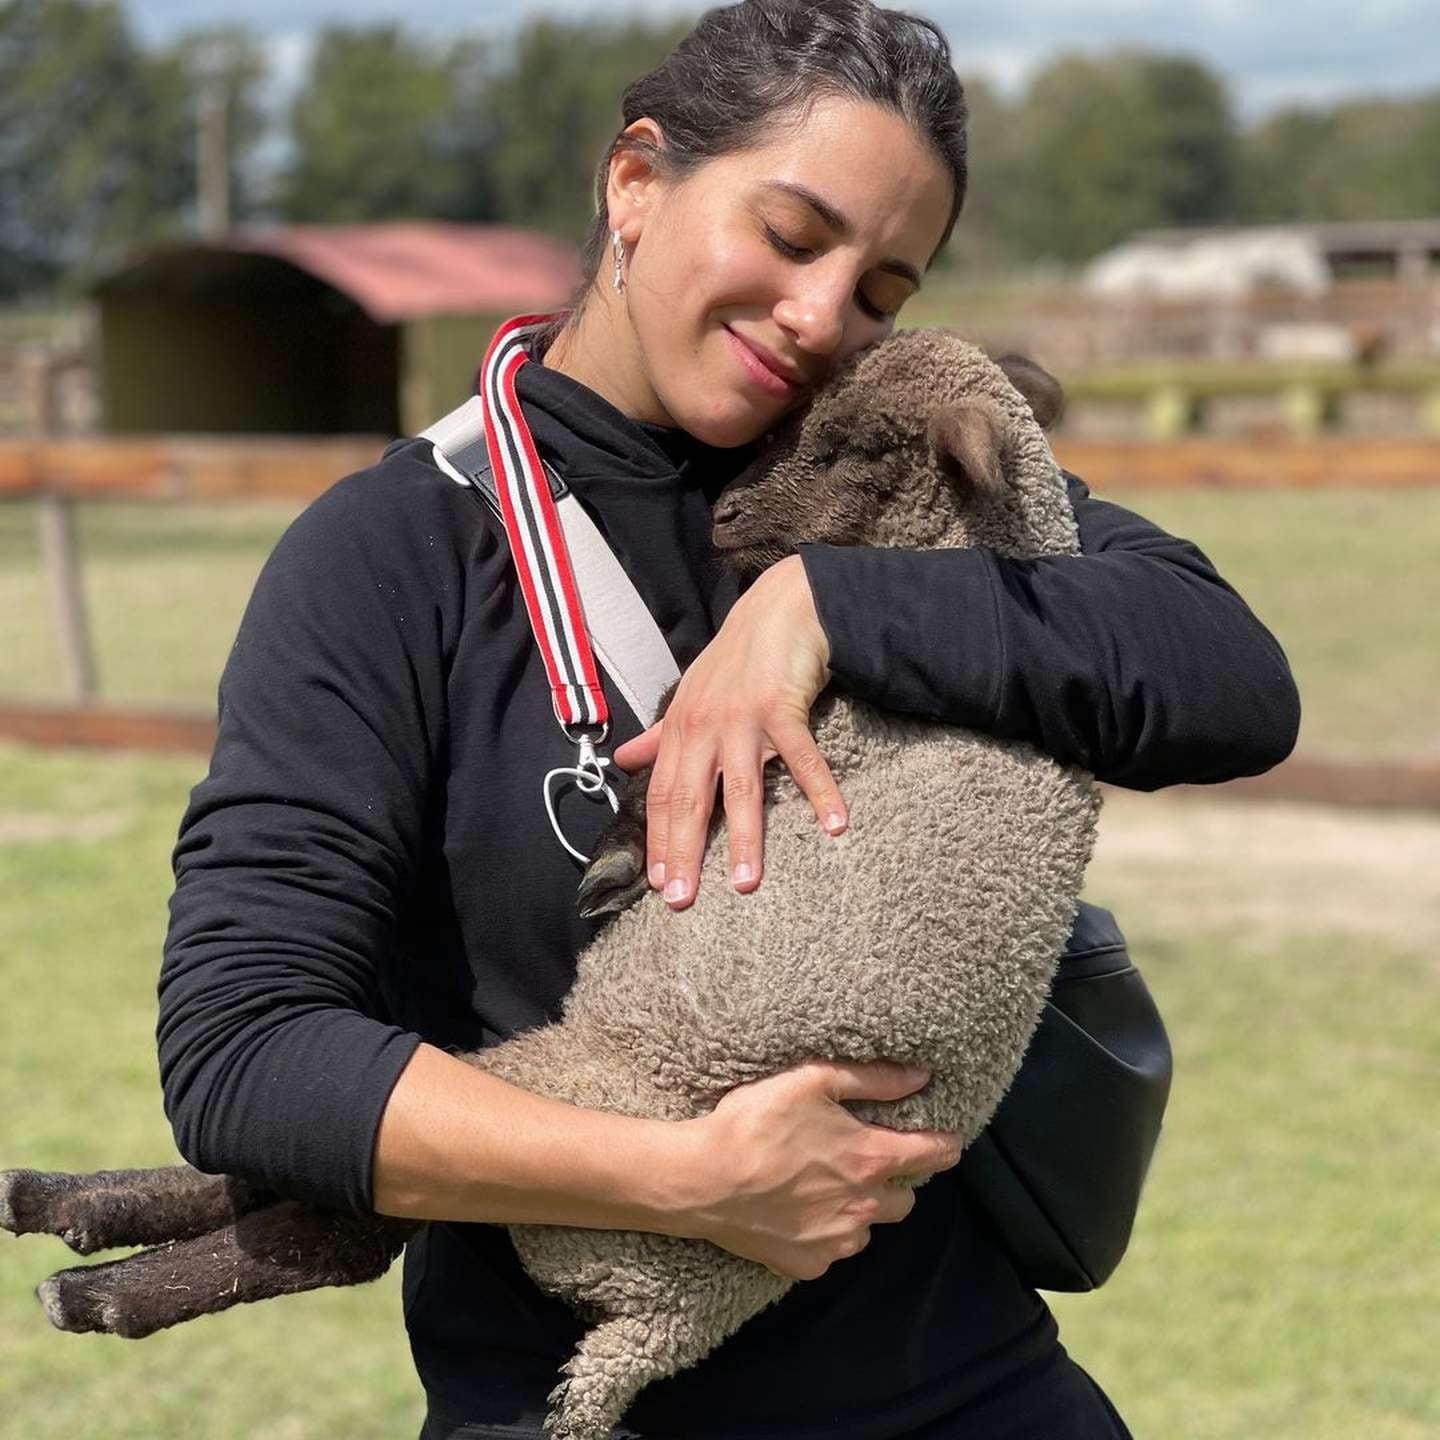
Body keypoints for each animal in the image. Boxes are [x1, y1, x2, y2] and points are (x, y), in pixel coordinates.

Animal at [2, 331, 1100, 1440]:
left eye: (849, 450)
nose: (726, 516)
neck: (958, 551)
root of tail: (648, 1334)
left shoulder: (796, 724)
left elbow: (681, 738)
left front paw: (617, 860)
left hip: (551, 1125)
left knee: (342, 1221)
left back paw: (88, 1278)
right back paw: (63, 1208)